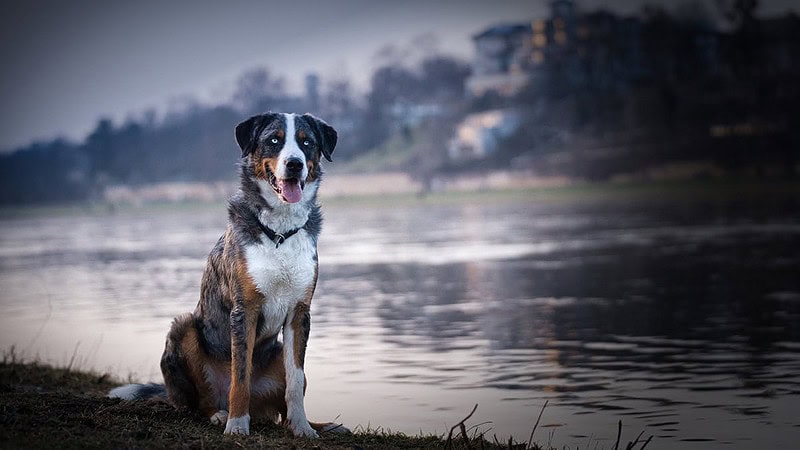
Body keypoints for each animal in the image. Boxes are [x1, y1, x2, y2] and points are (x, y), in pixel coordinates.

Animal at [108, 113, 346, 440]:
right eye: (274, 140)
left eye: (306, 142)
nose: (295, 163)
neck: (280, 233)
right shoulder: (244, 310)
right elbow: (240, 376)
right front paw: (236, 425)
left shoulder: (300, 313)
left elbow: (295, 382)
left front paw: (303, 428)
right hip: (184, 329)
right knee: (203, 399)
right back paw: (220, 414)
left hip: (277, 355)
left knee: (283, 404)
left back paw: (322, 424)